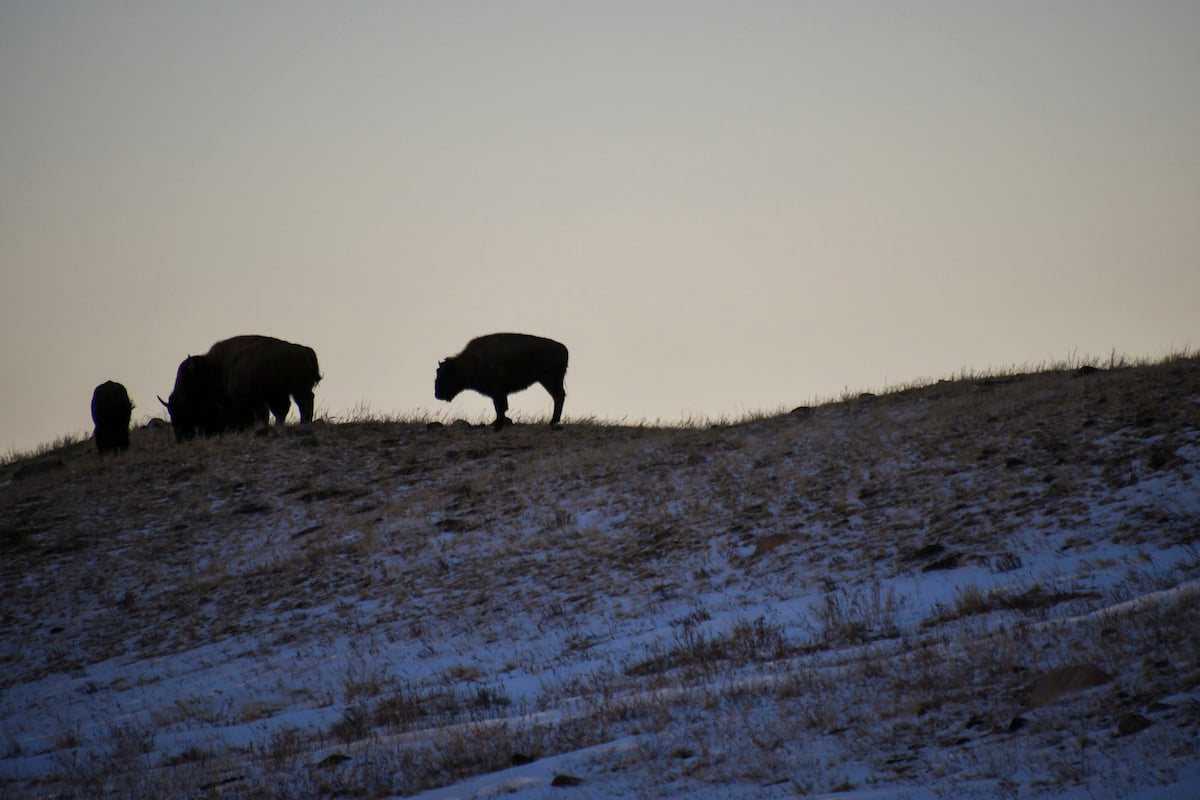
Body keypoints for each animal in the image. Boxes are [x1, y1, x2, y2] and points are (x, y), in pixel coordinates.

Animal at [159, 335, 320, 441]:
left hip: (299, 390)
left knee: (304, 403)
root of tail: (305, 350)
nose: (181, 436)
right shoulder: (264, 399)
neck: (214, 368)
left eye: (189, 388)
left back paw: (304, 423)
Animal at [435, 333, 568, 430]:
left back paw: (553, 421)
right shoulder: (500, 393)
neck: (469, 362)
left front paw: (497, 426)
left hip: (550, 380)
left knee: (558, 396)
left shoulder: (497, 392)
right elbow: (501, 408)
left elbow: (499, 408)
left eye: (445, 375)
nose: (437, 394)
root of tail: (563, 348)